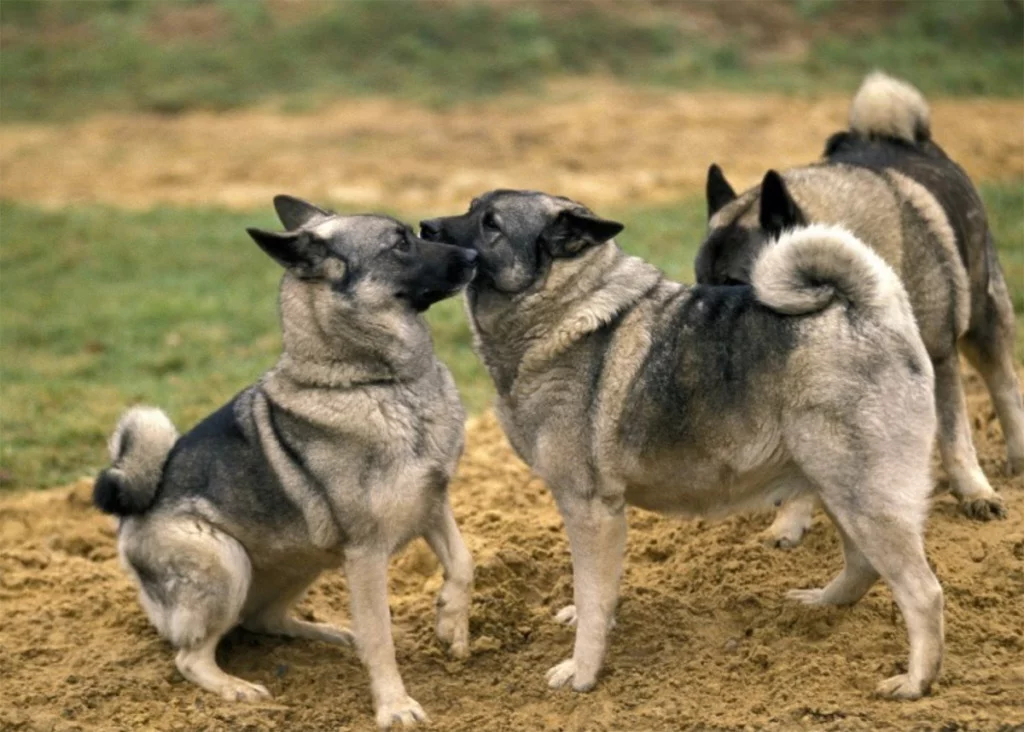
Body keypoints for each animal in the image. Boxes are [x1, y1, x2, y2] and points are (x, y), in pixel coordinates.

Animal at [94, 194, 477, 728]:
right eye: (400, 244)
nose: (476, 257)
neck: (378, 383)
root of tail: (133, 514)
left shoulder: (432, 503)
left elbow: (464, 563)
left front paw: (450, 622)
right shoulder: (366, 553)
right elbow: (380, 637)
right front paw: (394, 705)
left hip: (302, 562)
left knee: (264, 620)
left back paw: (334, 635)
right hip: (226, 561)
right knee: (190, 656)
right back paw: (234, 687)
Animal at [421, 191, 942, 700]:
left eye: (491, 224)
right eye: (471, 209)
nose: (425, 227)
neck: (564, 304)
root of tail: (869, 309)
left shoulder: (589, 511)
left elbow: (592, 597)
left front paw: (582, 673)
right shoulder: (605, 517)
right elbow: (600, 593)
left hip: (863, 497)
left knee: (922, 592)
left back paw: (916, 682)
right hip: (839, 489)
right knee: (864, 567)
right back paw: (820, 606)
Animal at [692, 71, 1019, 548]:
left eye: (733, 283)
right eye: (698, 278)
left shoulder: (940, 358)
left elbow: (955, 436)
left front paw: (974, 493)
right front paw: (789, 523)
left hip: (982, 319)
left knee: (1004, 383)